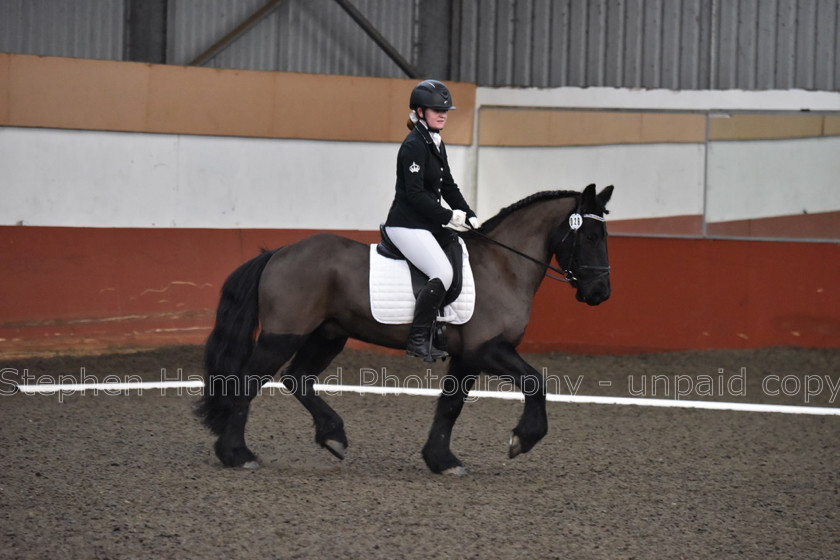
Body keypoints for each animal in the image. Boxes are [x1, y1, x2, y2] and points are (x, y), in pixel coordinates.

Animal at [197, 183, 616, 472]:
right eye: (591, 235)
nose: (600, 292)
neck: (503, 266)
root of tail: (277, 254)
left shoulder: (467, 357)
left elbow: (450, 406)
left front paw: (441, 459)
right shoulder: (488, 349)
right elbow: (535, 383)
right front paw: (522, 440)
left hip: (328, 334)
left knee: (297, 379)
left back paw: (333, 436)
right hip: (284, 336)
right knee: (247, 382)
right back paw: (237, 454)